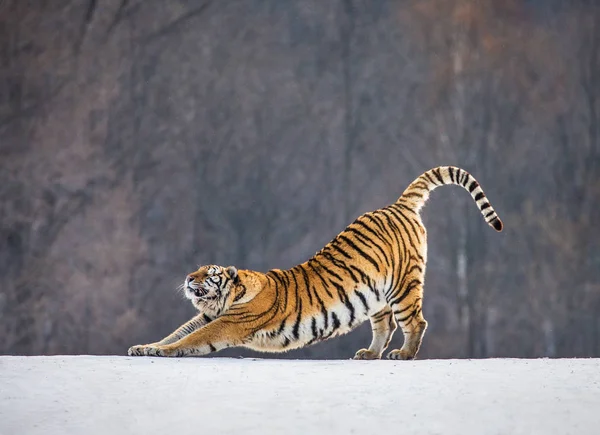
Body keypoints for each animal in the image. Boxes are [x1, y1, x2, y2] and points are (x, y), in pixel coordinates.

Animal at [127, 167, 502, 362]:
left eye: (210, 273)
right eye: (199, 270)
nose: (189, 278)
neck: (226, 299)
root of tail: (396, 205)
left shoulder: (227, 324)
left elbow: (188, 340)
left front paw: (159, 351)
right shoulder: (205, 317)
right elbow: (176, 333)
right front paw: (144, 347)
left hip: (403, 286)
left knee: (416, 322)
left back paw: (404, 354)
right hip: (377, 297)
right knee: (385, 326)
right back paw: (370, 354)